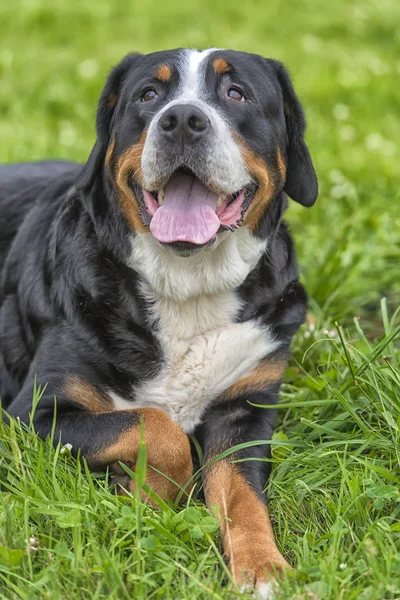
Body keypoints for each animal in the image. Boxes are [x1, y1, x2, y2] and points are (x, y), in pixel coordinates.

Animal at [0, 49, 318, 596]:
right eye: (149, 94)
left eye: (236, 93)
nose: (183, 120)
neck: (188, 287)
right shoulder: (34, 414)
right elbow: (159, 428)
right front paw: (146, 496)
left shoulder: (245, 409)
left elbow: (242, 495)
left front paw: (263, 566)